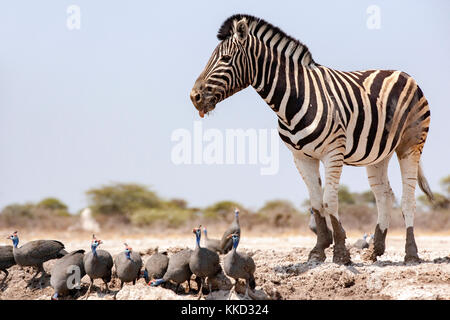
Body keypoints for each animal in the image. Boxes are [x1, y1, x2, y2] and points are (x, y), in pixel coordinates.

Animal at [189, 14, 432, 264]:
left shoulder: (333, 152)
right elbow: (315, 203)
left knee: (408, 199)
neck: (294, 99)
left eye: (226, 58)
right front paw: (318, 249)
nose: (194, 96)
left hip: (410, 144)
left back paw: (411, 254)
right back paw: (375, 250)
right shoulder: (301, 157)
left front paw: (340, 252)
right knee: (384, 195)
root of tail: (404, 74)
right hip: (378, 154)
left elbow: (329, 200)